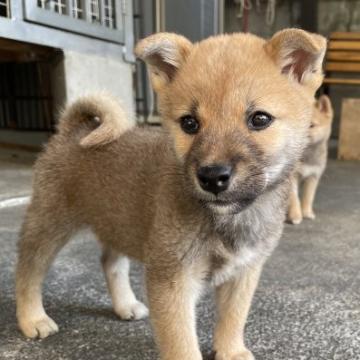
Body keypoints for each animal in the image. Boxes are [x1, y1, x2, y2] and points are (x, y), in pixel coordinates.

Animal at [16, 28, 326, 360]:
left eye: (260, 119)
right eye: (189, 123)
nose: (212, 177)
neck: (226, 220)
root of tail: (70, 131)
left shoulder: (244, 270)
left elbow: (233, 317)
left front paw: (231, 351)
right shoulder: (173, 280)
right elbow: (181, 344)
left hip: (117, 222)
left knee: (110, 262)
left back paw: (125, 305)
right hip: (49, 223)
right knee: (27, 270)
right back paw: (32, 318)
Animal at [286, 95, 334, 225]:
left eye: (312, 125)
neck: (307, 157)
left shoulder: (313, 177)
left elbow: (308, 197)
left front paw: (307, 212)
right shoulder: (293, 178)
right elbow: (295, 199)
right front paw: (296, 216)